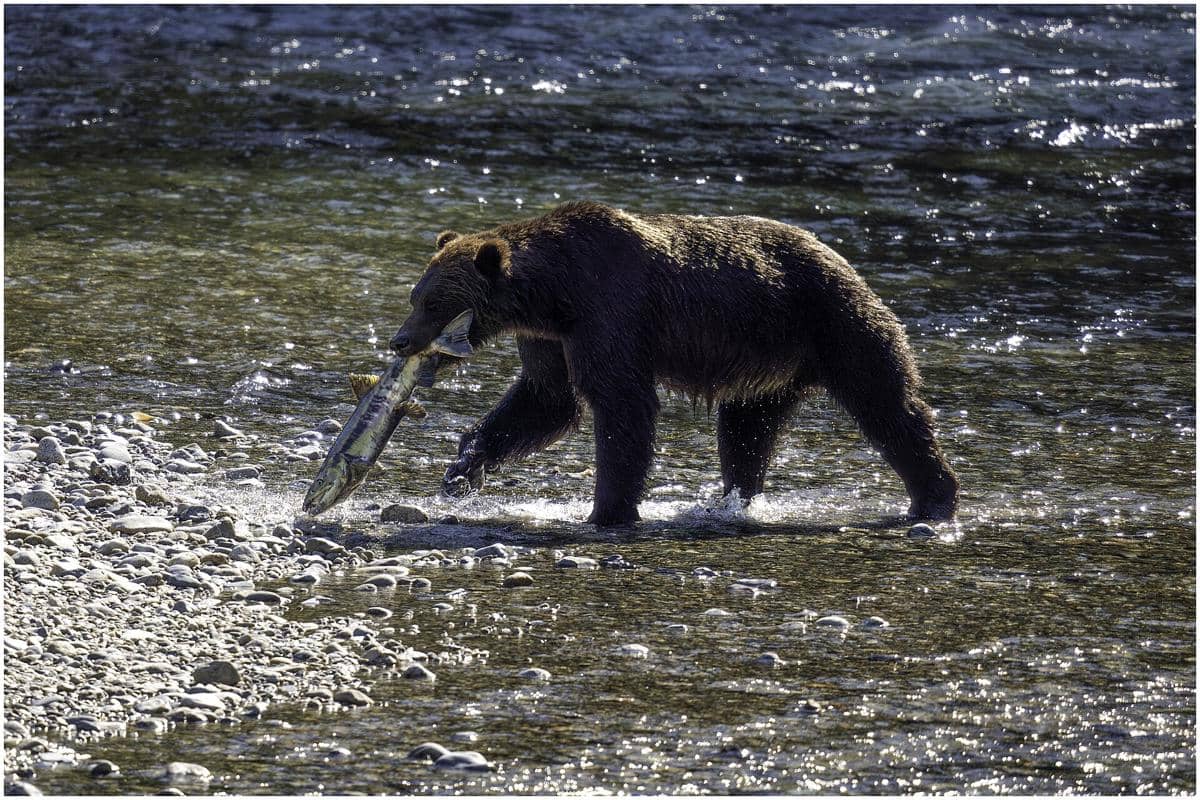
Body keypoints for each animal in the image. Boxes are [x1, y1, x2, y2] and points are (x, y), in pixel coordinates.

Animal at [389, 201, 958, 527]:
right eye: (416, 296)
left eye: (433, 303)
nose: (399, 341)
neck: (555, 294)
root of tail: (840, 256)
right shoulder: (550, 337)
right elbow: (544, 400)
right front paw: (463, 469)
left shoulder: (612, 311)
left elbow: (621, 404)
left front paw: (608, 509)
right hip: (765, 361)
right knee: (747, 430)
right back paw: (730, 500)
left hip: (833, 320)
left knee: (886, 403)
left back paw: (934, 497)